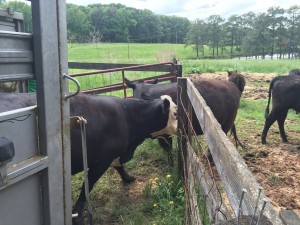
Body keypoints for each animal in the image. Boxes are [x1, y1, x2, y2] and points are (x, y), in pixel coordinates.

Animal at [0, 92, 178, 221]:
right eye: (176, 113)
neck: (128, 116)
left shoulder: (113, 155)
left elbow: (119, 166)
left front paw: (128, 178)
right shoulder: (101, 161)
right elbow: (88, 185)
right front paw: (77, 213)